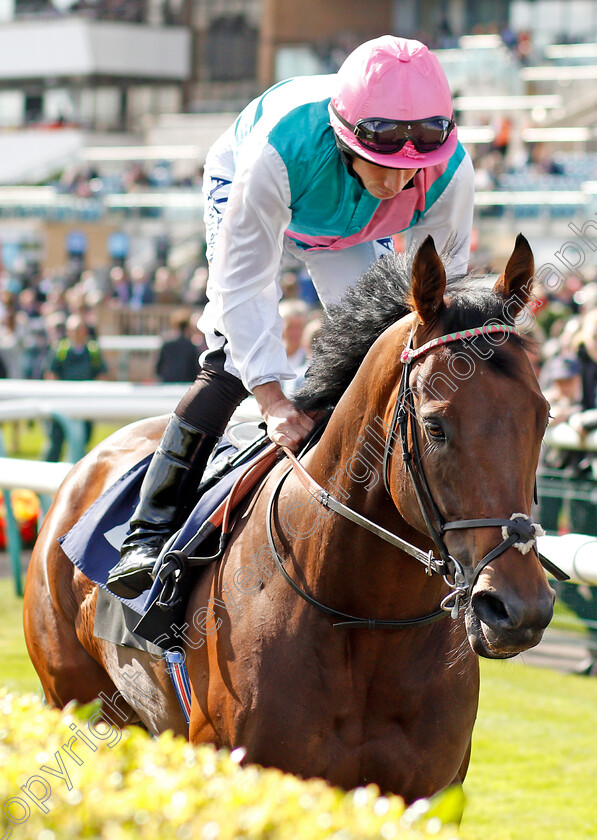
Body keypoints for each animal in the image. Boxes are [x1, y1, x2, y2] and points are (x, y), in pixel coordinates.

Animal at [23, 235, 556, 800]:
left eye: (543, 416)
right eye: (435, 426)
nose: (519, 610)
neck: (367, 620)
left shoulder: (429, 793)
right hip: (75, 699)